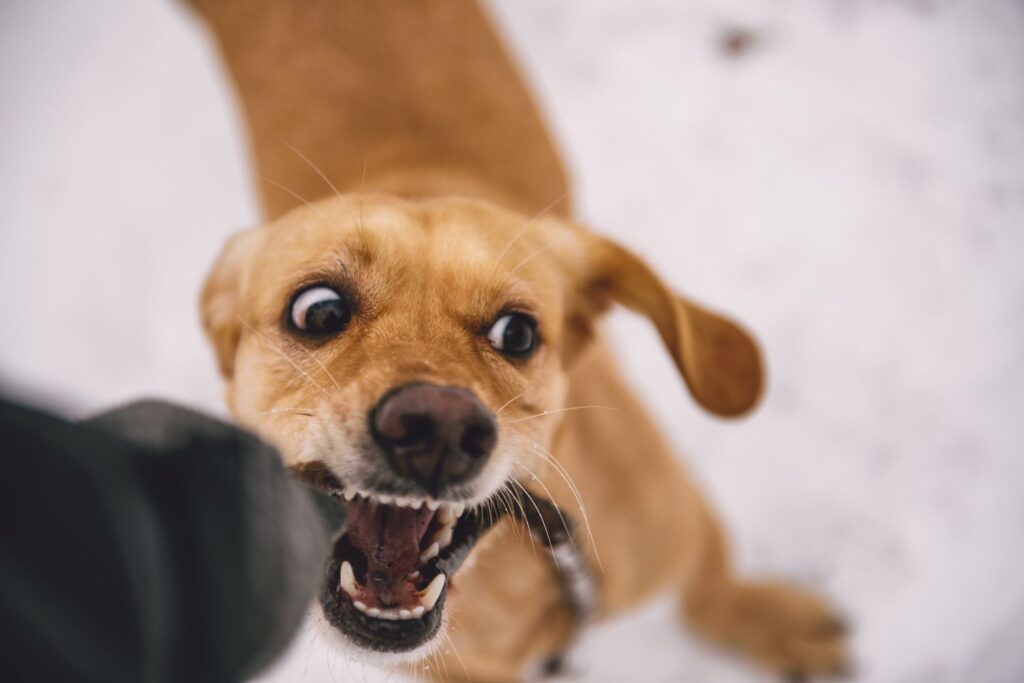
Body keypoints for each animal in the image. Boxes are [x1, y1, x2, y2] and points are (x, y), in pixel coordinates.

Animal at [186, 0, 847, 679]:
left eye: (518, 332)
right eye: (318, 312)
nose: (438, 428)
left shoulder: (682, 523)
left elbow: (708, 590)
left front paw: (771, 625)